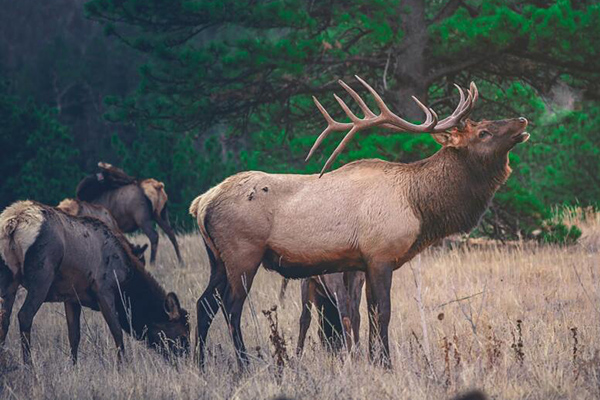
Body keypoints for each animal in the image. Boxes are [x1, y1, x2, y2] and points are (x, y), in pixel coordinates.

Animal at [0, 202, 190, 364]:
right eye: (182, 335)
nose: (187, 360)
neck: (126, 280)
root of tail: (13, 223)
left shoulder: (71, 297)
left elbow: (74, 335)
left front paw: (74, 366)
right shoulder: (104, 289)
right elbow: (117, 331)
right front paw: (122, 366)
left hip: (9, 278)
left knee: (4, 319)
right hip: (42, 275)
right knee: (24, 315)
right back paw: (29, 366)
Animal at [190, 76, 528, 368]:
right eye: (483, 132)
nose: (523, 121)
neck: (419, 205)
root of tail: (201, 203)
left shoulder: (362, 262)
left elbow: (368, 314)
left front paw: (373, 360)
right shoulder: (380, 255)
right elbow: (383, 313)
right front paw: (387, 364)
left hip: (217, 259)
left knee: (203, 304)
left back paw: (200, 363)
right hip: (243, 253)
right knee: (230, 308)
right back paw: (244, 364)